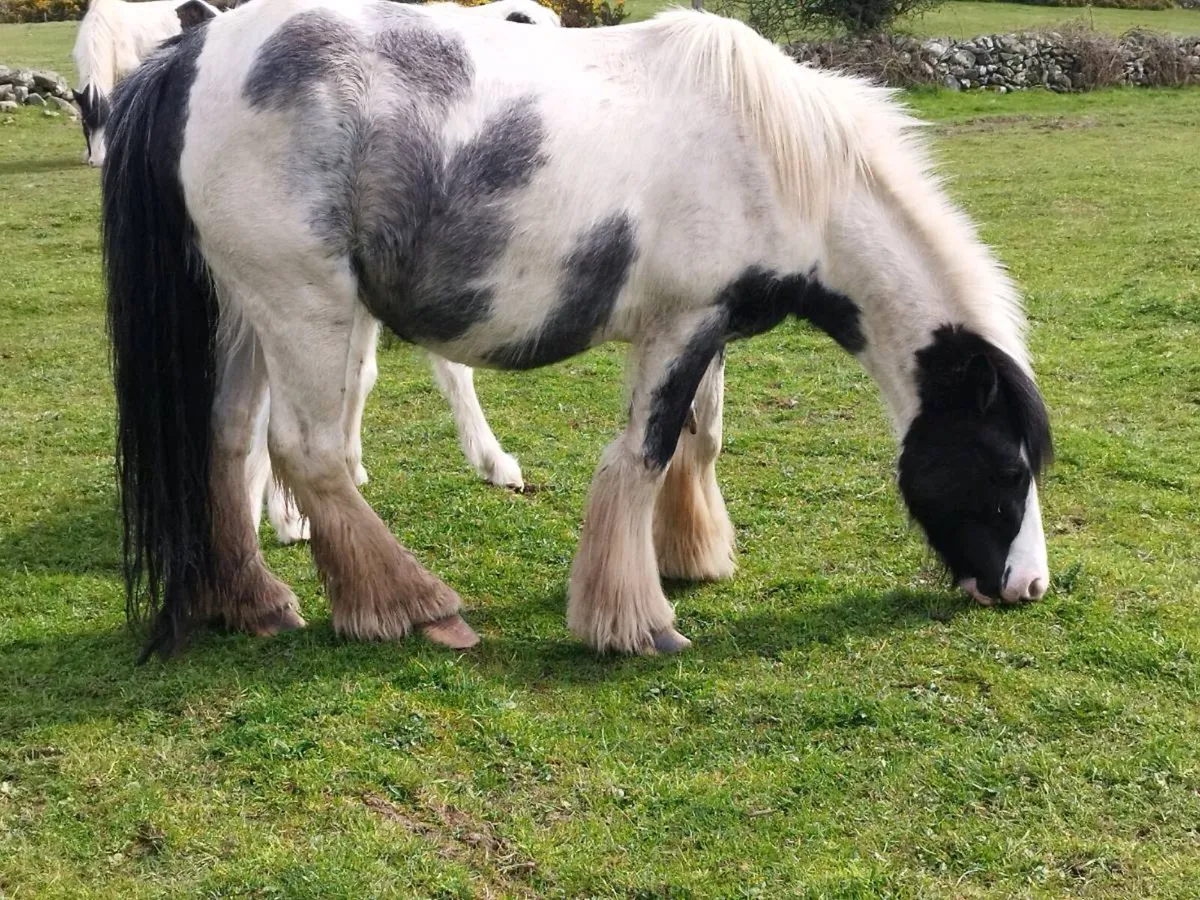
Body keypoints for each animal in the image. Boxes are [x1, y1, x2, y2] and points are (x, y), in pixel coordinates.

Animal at [101, 2, 1052, 659]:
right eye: (1008, 467)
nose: (1028, 587)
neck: (776, 158)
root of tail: (190, 57)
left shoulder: (706, 325)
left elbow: (700, 440)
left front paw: (690, 555)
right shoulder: (680, 327)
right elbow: (644, 452)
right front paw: (633, 621)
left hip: (244, 311)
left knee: (227, 441)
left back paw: (254, 600)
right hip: (305, 305)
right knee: (309, 452)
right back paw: (414, 606)